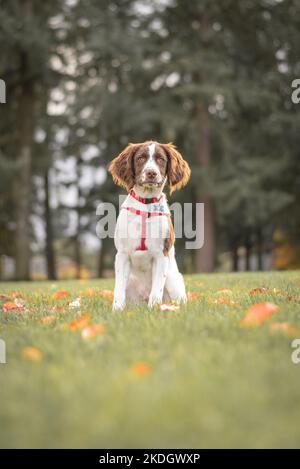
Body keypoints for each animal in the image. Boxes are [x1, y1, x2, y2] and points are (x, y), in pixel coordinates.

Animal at [109, 141, 191, 308]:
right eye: (140, 158)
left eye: (161, 159)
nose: (151, 173)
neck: (145, 204)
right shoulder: (122, 254)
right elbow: (118, 290)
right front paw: (117, 310)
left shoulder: (161, 254)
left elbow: (156, 289)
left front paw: (154, 308)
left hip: (173, 282)